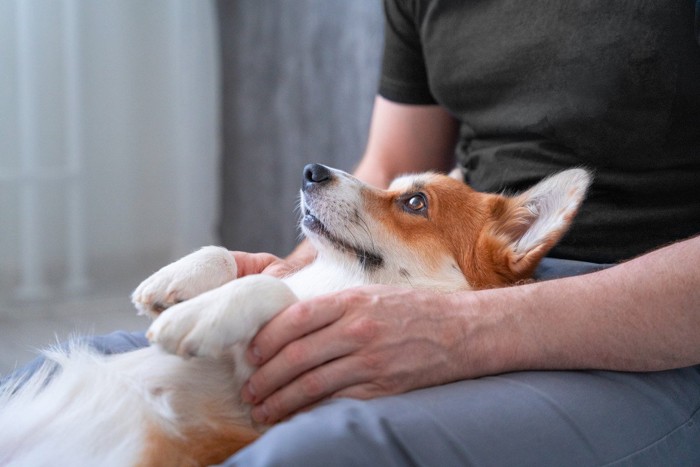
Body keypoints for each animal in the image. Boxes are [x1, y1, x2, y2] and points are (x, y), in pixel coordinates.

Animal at [0, 164, 592, 464]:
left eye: (415, 203)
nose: (312, 169)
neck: (339, 279)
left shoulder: (277, 394)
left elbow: (271, 290)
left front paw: (202, 315)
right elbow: (234, 259)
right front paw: (173, 283)